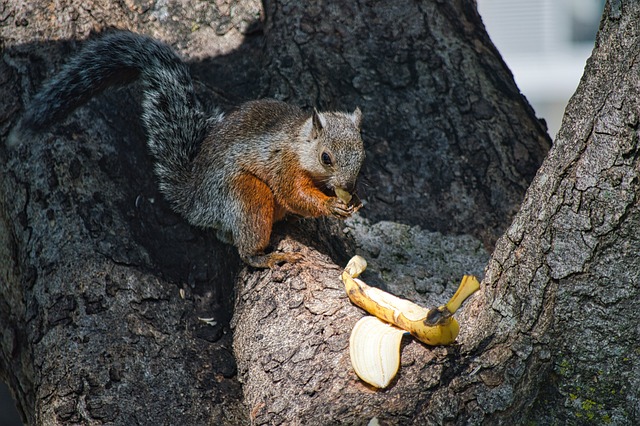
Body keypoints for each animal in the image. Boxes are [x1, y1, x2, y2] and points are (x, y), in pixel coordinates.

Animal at [11, 31, 364, 268]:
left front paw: (354, 201)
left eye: (362, 155)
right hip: (244, 194)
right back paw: (263, 258)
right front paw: (331, 206)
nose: (348, 187)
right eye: (326, 157)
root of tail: (194, 199)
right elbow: (295, 194)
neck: (299, 143)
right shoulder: (283, 165)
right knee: (247, 238)